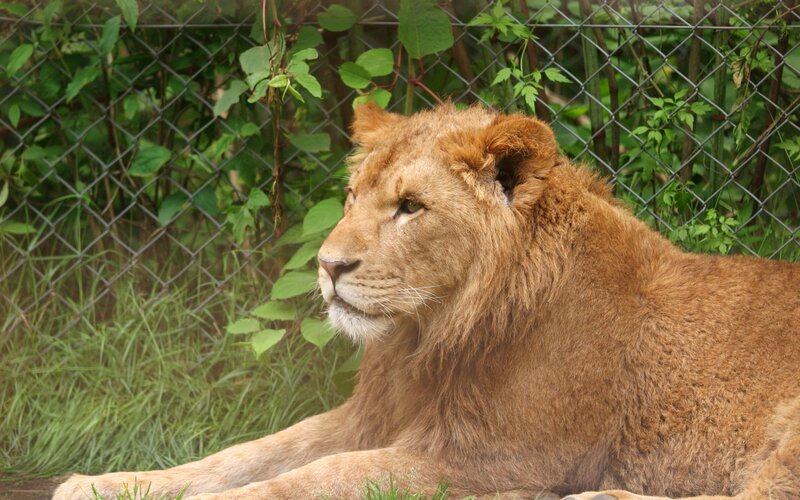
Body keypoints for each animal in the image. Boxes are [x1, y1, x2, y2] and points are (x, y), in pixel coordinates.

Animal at [54, 104, 800, 500]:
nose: (327, 267)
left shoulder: (484, 459)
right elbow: (244, 454)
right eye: (352, 197)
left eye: (410, 207)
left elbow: (309, 478)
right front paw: (105, 484)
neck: (425, 338)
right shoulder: (370, 417)